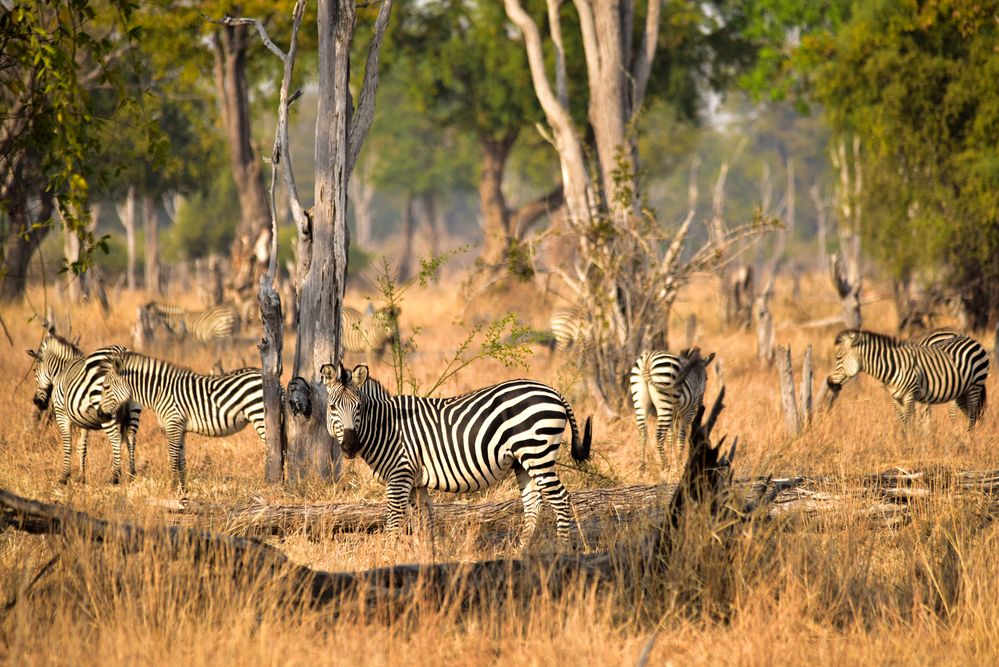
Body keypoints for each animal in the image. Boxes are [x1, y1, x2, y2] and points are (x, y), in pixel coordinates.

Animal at [27, 334, 143, 486]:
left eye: (34, 371)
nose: (37, 402)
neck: (62, 371)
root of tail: (119, 351)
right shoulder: (83, 420)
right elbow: (82, 447)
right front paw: (81, 477)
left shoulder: (62, 414)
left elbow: (67, 445)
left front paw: (64, 476)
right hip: (133, 408)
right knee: (131, 437)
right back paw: (131, 474)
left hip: (106, 408)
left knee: (116, 439)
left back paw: (115, 477)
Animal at [96, 350, 266, 490]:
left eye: (106, 387)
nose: (99, 414)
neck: (161, 392)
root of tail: (260, 372)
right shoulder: (180, 428)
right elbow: (181, 460)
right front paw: (183, 489)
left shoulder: (173, 424)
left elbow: (172, 457)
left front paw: (172, 487)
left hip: (259, 415)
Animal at [318, 366, 592, 548]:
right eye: (332, 407)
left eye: (359, 407)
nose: (350, 446)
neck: (385, 428)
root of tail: (552, 390)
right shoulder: (416, 482)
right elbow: (425, 520)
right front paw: (430, 555)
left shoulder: (399, 475)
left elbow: (393, 522)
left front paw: (388, 555)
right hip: (523, 461)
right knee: (533, 503)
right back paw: (521, 552)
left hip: (537, 452)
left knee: (560, 499)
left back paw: (561, 550)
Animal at [824, 330, 988, 434]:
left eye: (839, 357)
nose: (829, 383)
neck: (893, 366)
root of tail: (968, 337)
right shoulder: (896, 397)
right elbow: (903, 422)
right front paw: (907, 444)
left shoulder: (910, 395)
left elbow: (909, 421)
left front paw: (912, 444)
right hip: (961, 390)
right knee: (969, 415)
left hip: (974, 385)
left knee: (971, 414)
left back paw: (965, 440)